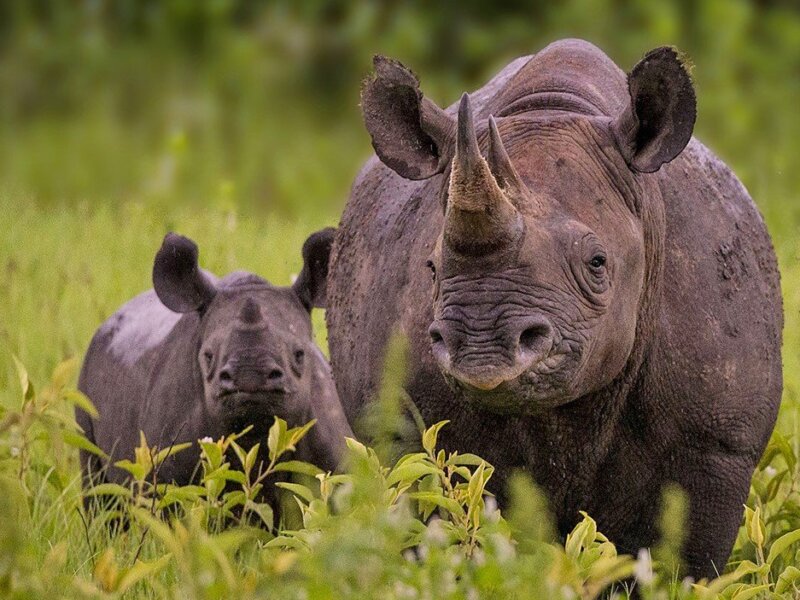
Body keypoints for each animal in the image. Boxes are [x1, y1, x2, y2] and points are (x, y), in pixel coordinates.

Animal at [326, 39, 783, 576]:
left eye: (597, 263)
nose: (482, 347)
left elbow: (681, 562)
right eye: (432, 268)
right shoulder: (410, 436)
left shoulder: (715, 443)